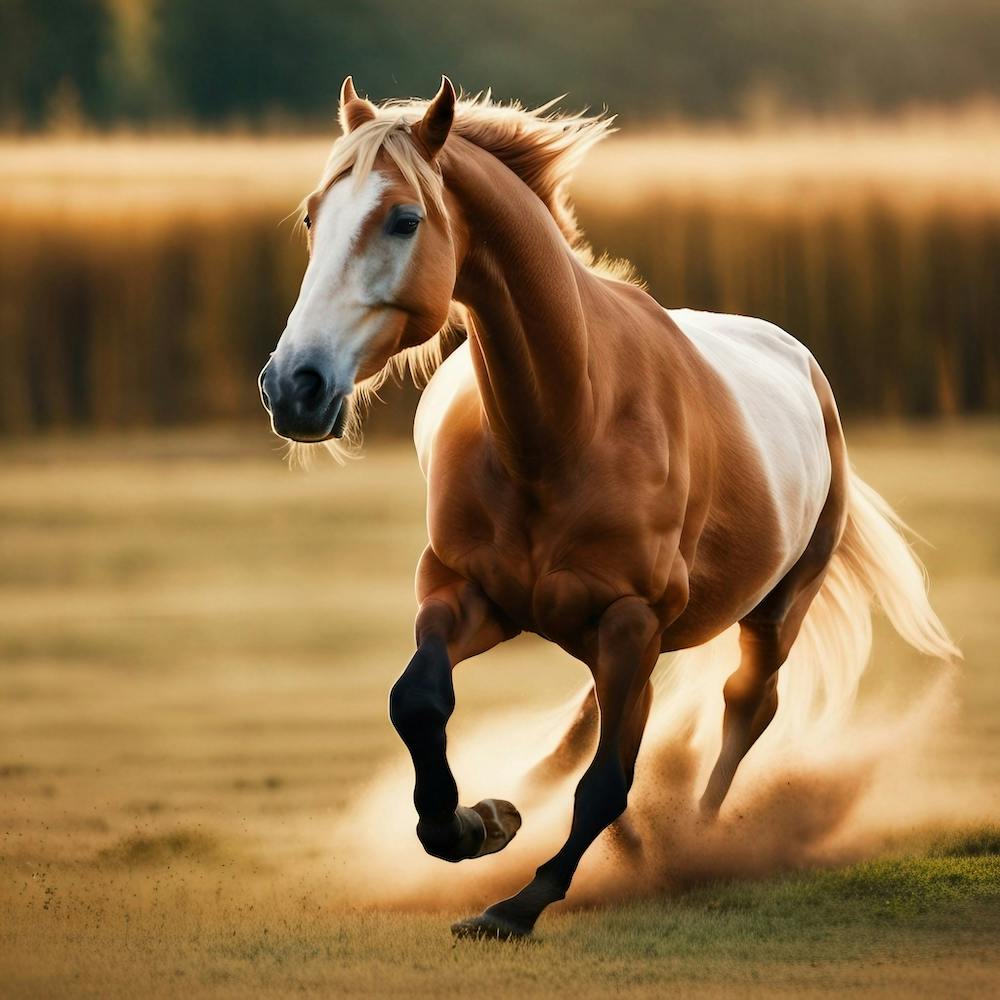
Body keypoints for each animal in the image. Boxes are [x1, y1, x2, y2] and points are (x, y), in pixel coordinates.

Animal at [258, 77, 958, 939]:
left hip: (772, 612)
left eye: (403, 218)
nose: (294, 384)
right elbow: (420, 701)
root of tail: (804, 366)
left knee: (744, 707)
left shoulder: (631, 620)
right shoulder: (467, 593)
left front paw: (517, 904)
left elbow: (606, 784)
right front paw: (477, 823)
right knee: (593, 720)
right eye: (311, 216)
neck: (565, 426)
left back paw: (694, 838)